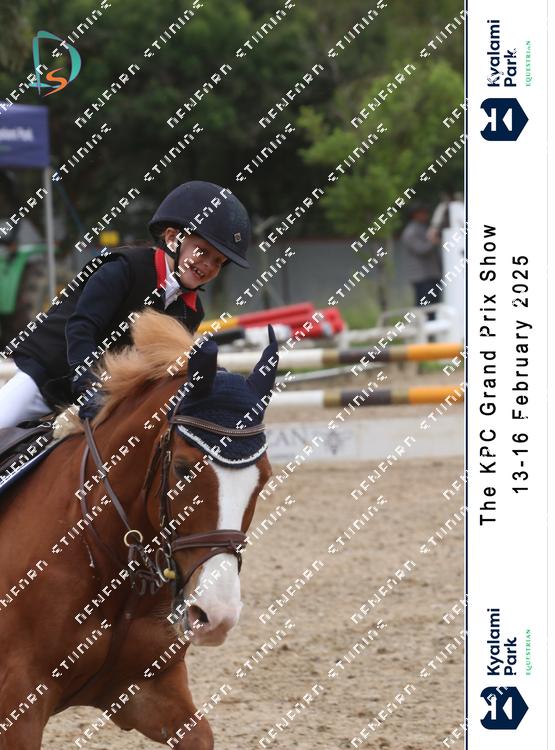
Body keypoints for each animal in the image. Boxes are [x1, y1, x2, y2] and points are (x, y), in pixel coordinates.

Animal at [0, 309, 278, 749]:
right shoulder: (18, 704)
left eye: (263, 478)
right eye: (182, 468)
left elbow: (198, 734)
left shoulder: (145, 688)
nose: (216, 616)